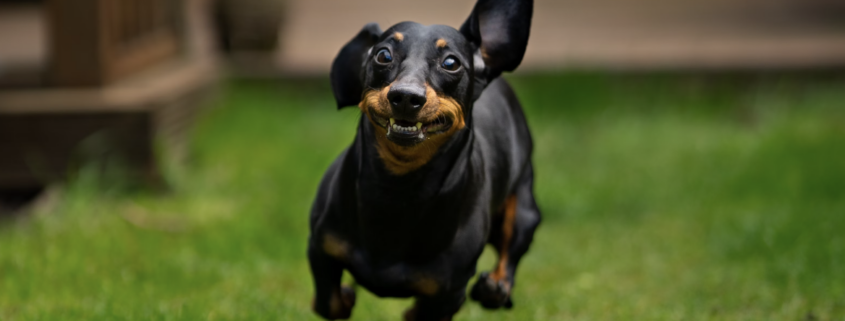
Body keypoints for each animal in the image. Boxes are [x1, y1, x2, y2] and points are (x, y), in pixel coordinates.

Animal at [310, 1, 540, 318]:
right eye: (383, 55)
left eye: (451, 63)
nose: (406, 96)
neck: (398, 188)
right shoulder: (321, 249)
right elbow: (329, 303)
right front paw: (344, 297)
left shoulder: (449, 292)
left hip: (524, 210)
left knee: (510, 254)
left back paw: (494, 287)